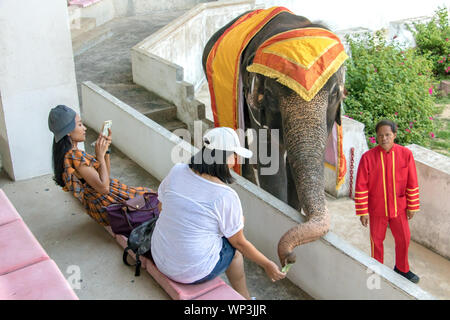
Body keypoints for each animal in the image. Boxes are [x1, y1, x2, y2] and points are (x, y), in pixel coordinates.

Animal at [202, 8, 346, 268]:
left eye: (333, 95)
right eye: (269, 94)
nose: (290, 257)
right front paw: (277, 204)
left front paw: (292, 209)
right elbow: (272, 161)